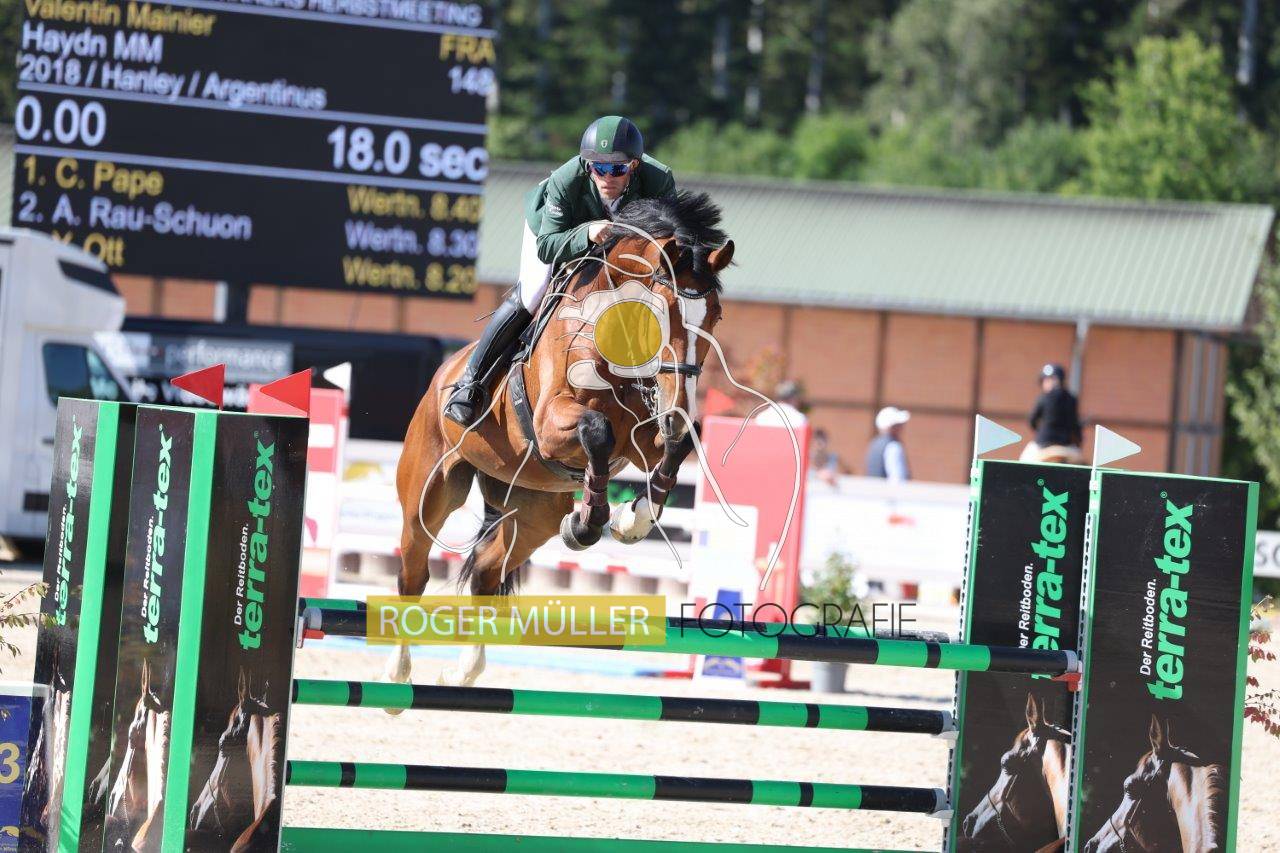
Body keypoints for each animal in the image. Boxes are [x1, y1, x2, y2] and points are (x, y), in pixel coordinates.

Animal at [388, 191, 734, 690]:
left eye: (716, 315)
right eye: (663, 311)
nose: (677, 406)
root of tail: (443, 374)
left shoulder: (645, 436)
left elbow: (674, 447)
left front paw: (631, 521)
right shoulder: (554, 424)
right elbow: (597, 431)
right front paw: (590, 523)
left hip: (532, 513)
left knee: (488, 572)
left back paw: (464, 671)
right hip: (429, 493)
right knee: (413, 572)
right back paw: (397, 677)